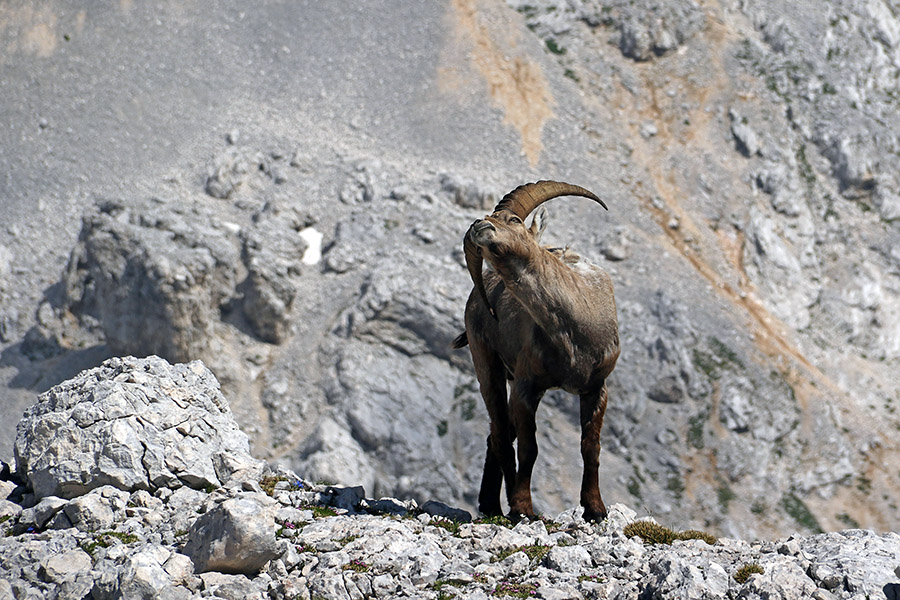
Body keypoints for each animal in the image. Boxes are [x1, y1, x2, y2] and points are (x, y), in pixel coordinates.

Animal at [452, 180, 619, 521]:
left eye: (513, 220)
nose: (479, 226)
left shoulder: (597, 387)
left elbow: (590, 447)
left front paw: (595, 508)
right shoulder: (527, 387)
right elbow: (530, 449)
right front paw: (522, 507)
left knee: (498, 435)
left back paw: (490, 504)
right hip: (486, 362)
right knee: (501, 435)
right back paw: (498, 506)